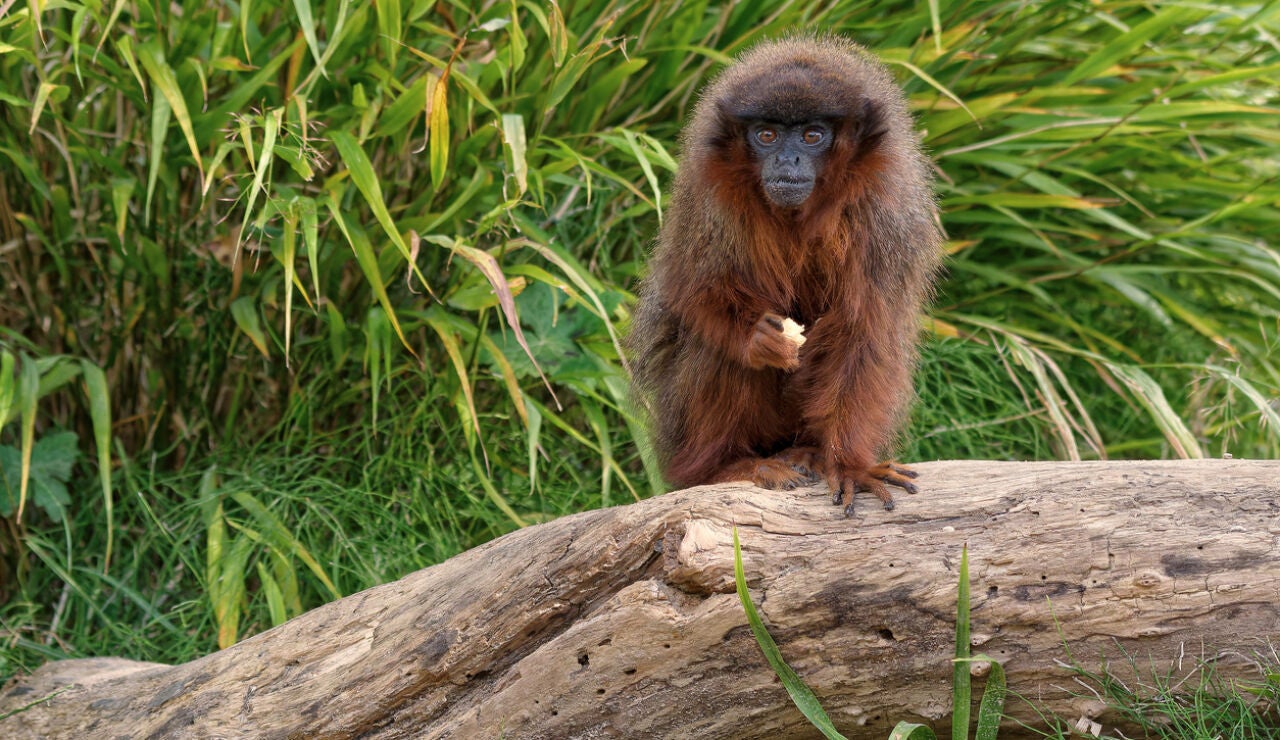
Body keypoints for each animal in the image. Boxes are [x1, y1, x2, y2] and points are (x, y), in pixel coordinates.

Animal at [627, 36, 942, 515]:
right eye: (767, 135)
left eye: (812, 135)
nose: (787, 158)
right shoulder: (710, 188)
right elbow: (690, 289)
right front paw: (758, 338)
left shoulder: (883, 203)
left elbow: (862, 330)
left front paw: (851, 465)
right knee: (715, 350)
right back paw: (722, 468)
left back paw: (810, 451)